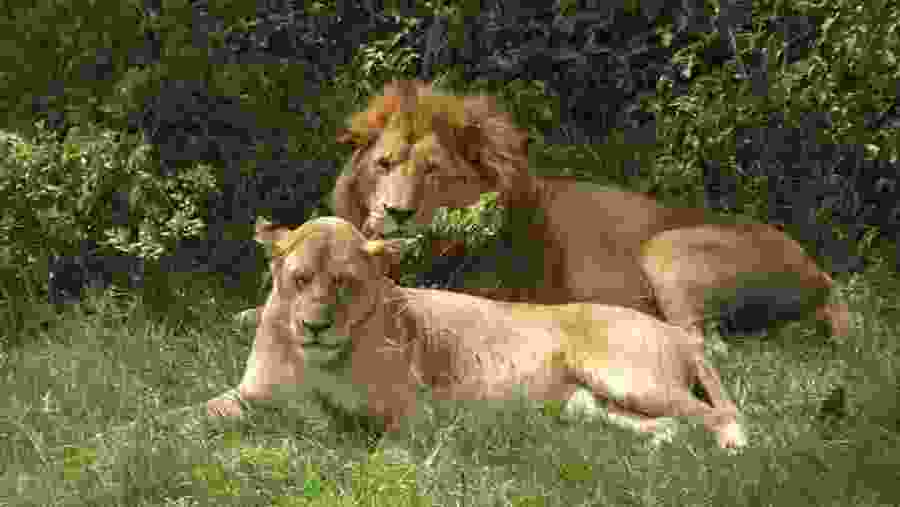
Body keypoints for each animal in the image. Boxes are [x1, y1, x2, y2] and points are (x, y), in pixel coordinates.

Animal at [207, 217, 748, 449]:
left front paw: (303, 421)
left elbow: (334, 422)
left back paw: (733, 447)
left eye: (343, 283)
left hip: (632, 379)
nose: (315, 326)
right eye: (300, 280)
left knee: (720, 412)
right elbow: (204, 411)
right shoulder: (247, 392)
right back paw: (659, 444)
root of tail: (676, 334)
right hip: (591, 405)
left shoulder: (406, 413)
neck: (313, 359)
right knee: (670, 423)